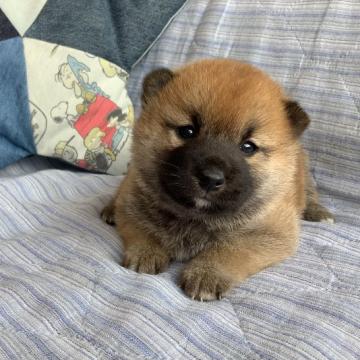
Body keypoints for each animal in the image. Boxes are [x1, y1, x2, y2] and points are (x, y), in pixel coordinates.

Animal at [100, 59, 334, 300]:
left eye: (248, 147)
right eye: (187, 131)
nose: (211, 179)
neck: (195, 217)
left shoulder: (271, 233)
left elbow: (230, 249)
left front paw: (206, 274)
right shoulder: (132, 204)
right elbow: (142, 229)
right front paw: (146, 254)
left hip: (304, 174)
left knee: (310, 195)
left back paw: (319, 213)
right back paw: (109, 209)